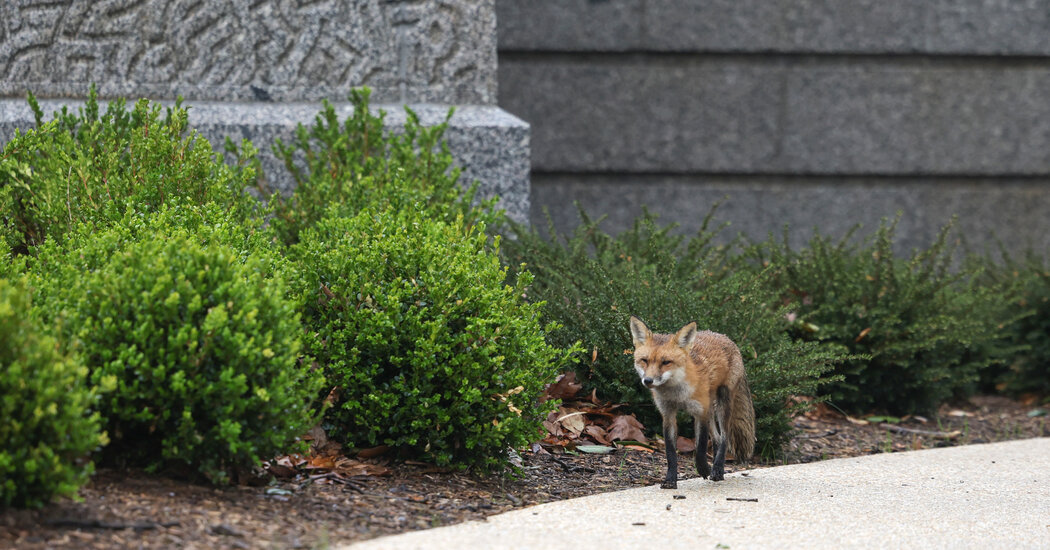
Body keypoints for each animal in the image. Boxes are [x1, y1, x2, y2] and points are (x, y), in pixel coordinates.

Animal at [630, 314, 755, 487]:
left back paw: (717, 469)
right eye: (644, 360)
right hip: (711, 409)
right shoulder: (668, 414)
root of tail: (726, 337)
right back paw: (718, 467)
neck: (677, 394)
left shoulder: (700, 412)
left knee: (724, 437)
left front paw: (704, 469)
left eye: (666, 362)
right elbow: (670, 452)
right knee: (717, 439)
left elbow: (700, 448)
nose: (648, 381)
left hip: (722, 403)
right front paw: (670, 480)